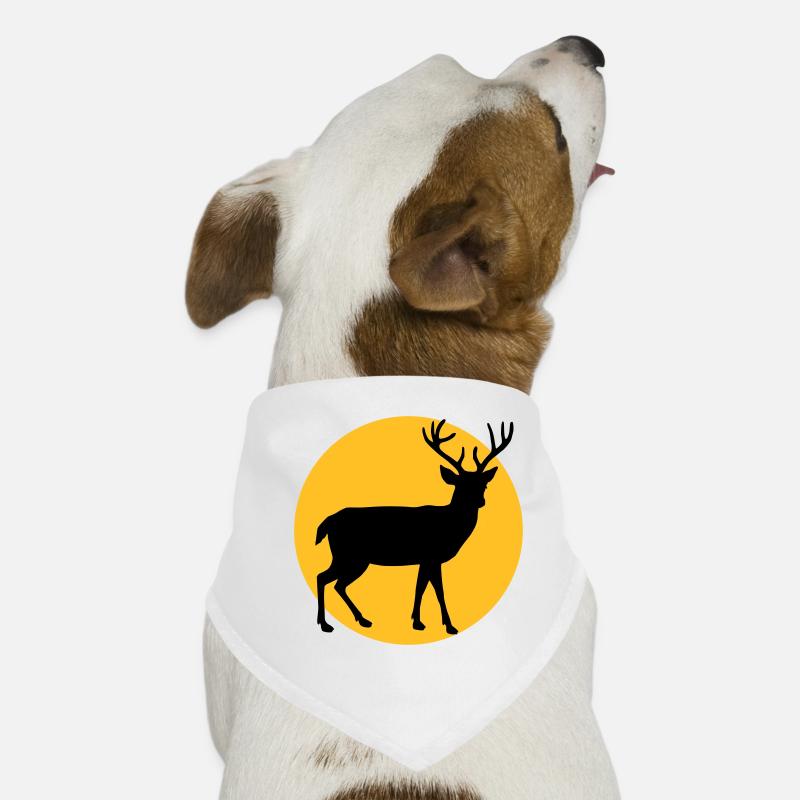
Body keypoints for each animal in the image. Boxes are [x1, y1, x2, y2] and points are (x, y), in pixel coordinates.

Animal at [315, 419, 514, 635]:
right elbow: (437, 590)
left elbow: (421, 587)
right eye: (460, 485)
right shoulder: (432, 556)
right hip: (347, 555)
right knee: (323, 578)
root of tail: (328, 521)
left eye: (483, 485)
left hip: (355, 560)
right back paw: (326, 624)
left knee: (337, 584)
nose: (480, 501)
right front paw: (448, 625)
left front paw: (417, 621)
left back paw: (362, 619)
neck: (449, 526)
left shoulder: (425, 560)